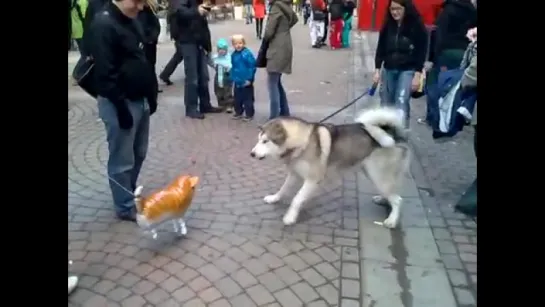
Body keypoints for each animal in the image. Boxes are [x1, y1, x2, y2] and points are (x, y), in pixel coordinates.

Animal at [250, 108, 408, 229]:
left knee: (398, 199)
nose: (252, 154)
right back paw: (382, 199)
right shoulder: (294, 174)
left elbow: (296, 198)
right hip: (372, 173)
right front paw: (274, 198)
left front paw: (290, 217)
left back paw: (392, 220)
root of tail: (392, 133)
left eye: (265, 141)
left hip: (378, 176)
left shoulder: (313, 180)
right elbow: (283, 189)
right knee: (392, 193)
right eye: (258, 140)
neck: (303, 141)